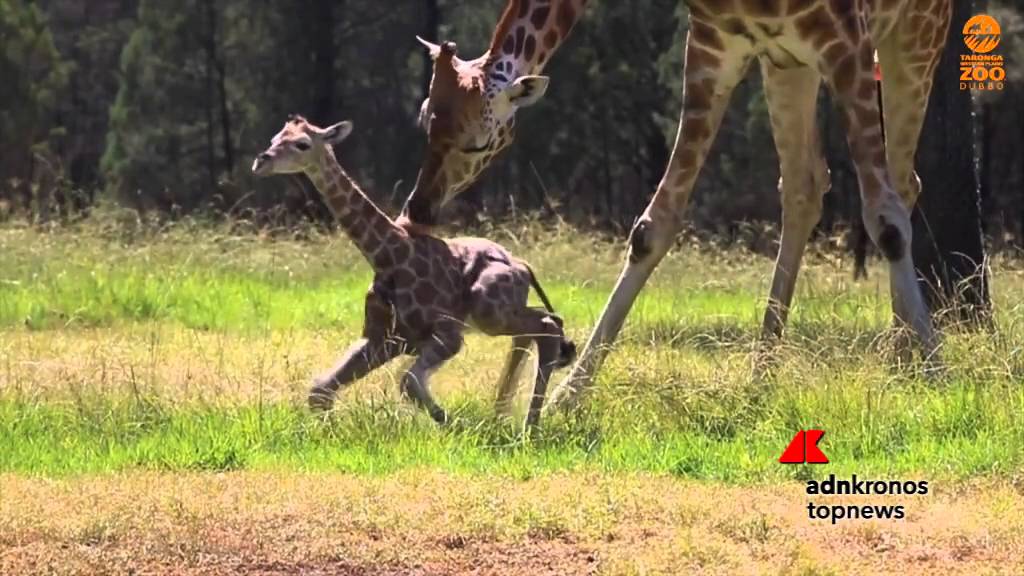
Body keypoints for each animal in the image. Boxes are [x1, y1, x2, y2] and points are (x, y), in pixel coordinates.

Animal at [252, 115, 576, 431]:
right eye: (274, 138)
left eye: (302, 144)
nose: (262, 160)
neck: (387, 257)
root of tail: (522, 266)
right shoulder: (385, 339)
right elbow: (320, 390)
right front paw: (326, 432)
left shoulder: (446, 335)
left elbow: (409, 382)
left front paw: (456, 425)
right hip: (498, 314)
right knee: (540, 327)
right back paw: (504, 414)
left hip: (489, 311)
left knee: (547, 325)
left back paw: (529, 427)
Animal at [399, 0, 951, 409]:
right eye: (425, 118)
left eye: (476, 142)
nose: (418, 211)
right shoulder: (717, 45)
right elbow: (652, 227)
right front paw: (567, 397)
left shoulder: (847, 42)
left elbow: (885, 219)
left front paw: (940, 376)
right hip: (787, 63)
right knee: (804, 184)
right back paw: (764, 374)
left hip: (916, 32)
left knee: (901, 183)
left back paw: (904, 359)